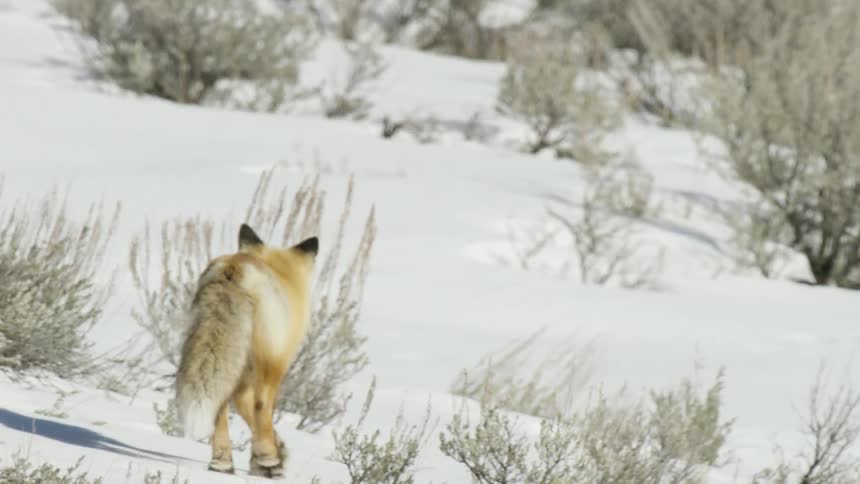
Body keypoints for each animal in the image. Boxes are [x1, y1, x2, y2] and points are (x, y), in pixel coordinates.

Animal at [174, 223, 318, 478]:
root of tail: (234, 268)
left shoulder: (241, 379)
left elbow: (244, 409)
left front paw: (275, 453)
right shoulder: (275, 363)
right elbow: (261, 415)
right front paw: (268, 461)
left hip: (220, 358)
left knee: (219, 408)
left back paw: (221, 464)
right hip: (267, 364)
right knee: (262, 407)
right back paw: (268, 459)